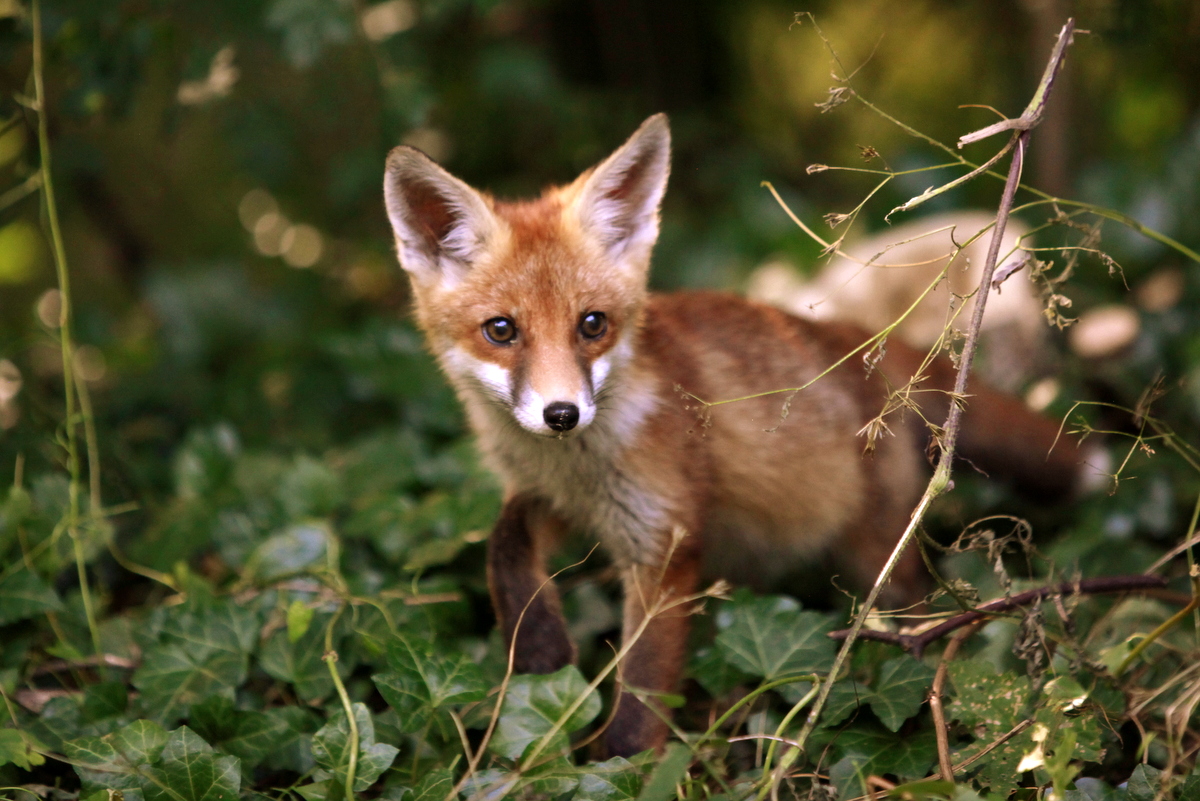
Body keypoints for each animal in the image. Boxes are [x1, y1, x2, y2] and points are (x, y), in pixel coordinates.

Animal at [384, 112, 1099, 757]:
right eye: (501, 331)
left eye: (592, 324)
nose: (563, 415)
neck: (577, 464)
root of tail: (869, 344)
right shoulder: (559, 499)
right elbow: (503, 544)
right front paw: (539, 648)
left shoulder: (665, 542)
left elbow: (642, 693)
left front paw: (617, 765)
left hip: (879, 555)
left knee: (912, 612)